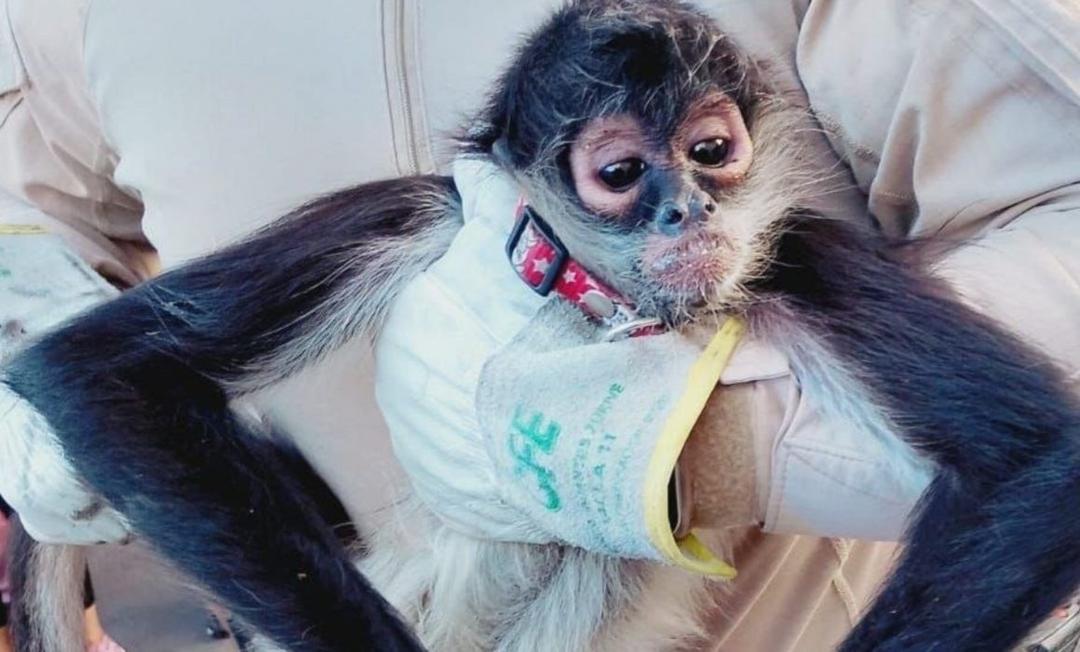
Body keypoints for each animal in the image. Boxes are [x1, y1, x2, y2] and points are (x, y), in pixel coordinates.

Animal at [2, 1, 1079, 651]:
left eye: (711, 150)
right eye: (620, 172)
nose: (689, 211)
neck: (587, 297)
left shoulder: (791, 252)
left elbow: (1044, 463)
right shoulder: (425, 213)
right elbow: (97, 368)